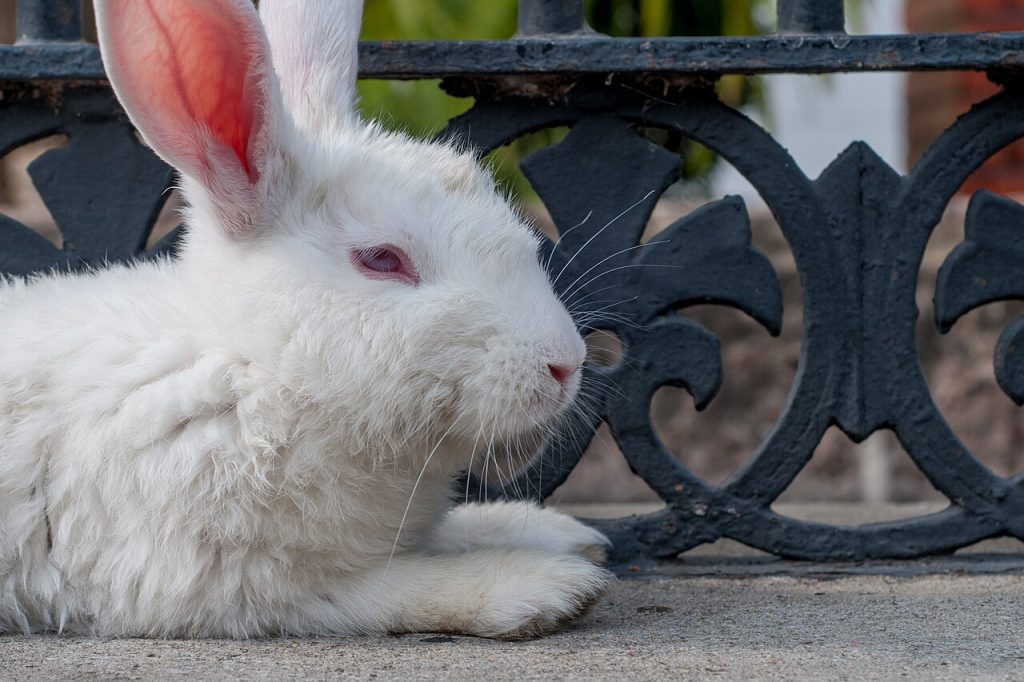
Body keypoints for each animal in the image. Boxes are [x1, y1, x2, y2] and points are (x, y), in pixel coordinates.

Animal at [0, 0, 612, 639]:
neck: (252, 371)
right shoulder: (233, 582)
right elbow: (389, 588)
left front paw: (556, 533)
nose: (566, 364)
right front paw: (543, 584)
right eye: (382, 259)